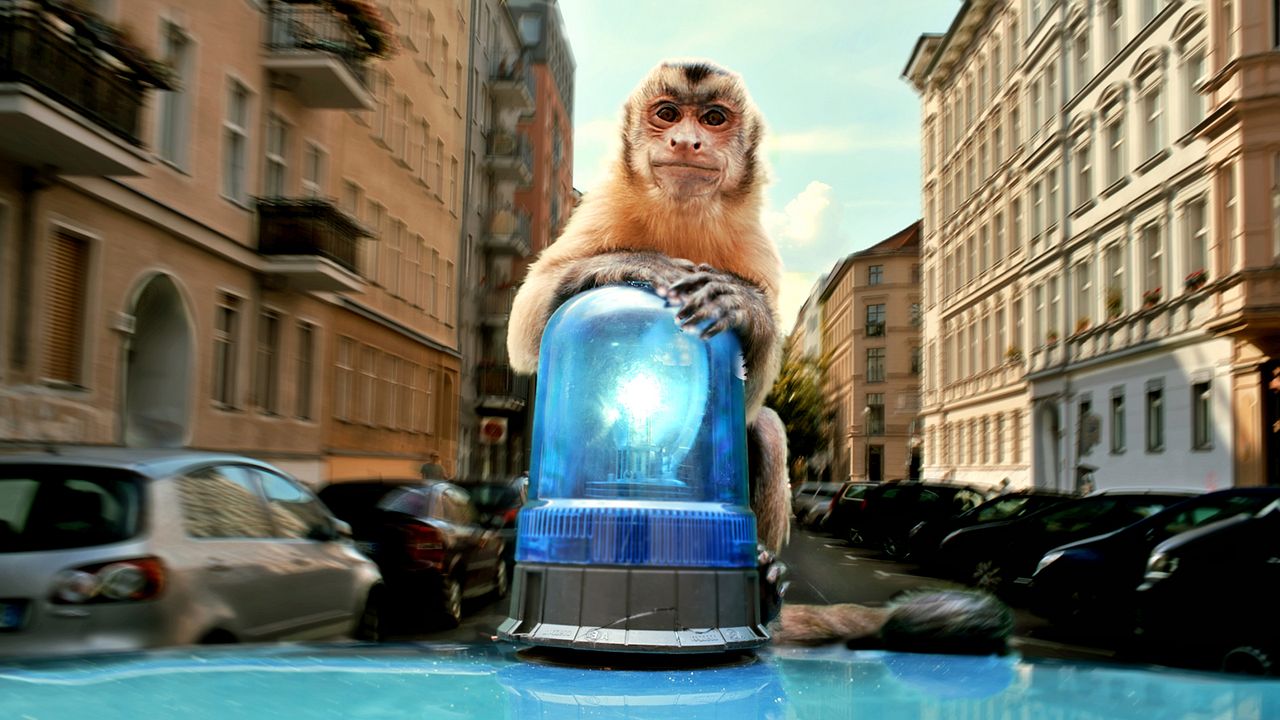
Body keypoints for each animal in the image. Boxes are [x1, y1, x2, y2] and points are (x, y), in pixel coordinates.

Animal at [506, 59, 1011, 653]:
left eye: (713, 118)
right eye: (668, 114)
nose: (687, 140)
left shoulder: (752, 240)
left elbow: (751, 391)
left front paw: (740, 305)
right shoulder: (600, 208)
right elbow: (527, 325)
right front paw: (642, 262)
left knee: (766, 429)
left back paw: (767, 590)